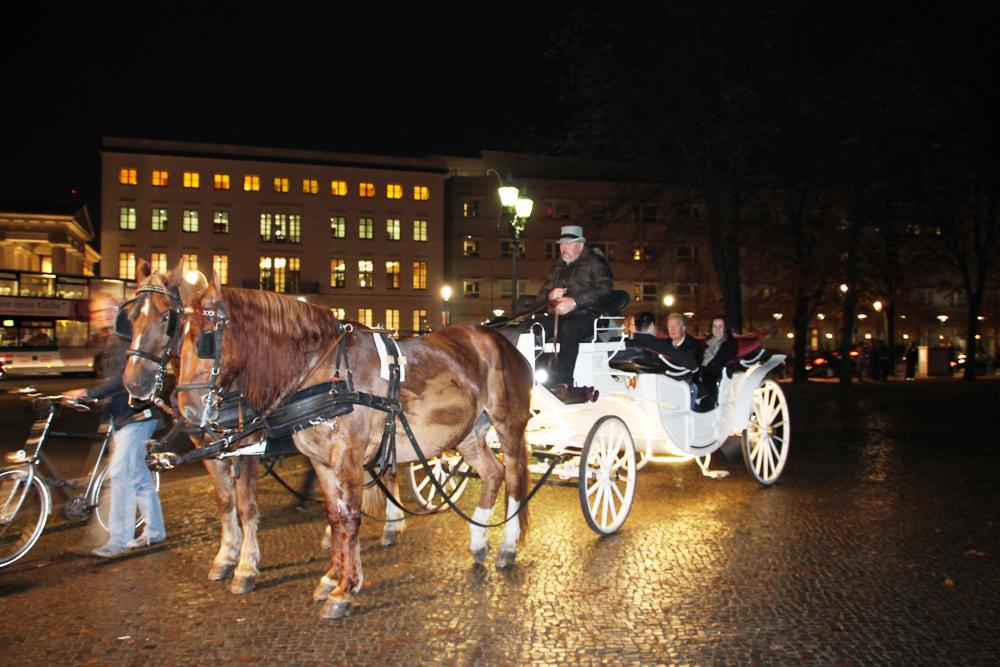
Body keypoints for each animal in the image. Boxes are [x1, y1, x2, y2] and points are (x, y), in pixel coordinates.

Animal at [126, 268, 540, 620]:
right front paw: (332, 577)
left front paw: (343, 589)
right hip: (467, 433)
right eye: (131, 320)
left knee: (514, 478)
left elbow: (346, 516)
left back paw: (506, 546)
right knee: (493, 473)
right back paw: (478, 540)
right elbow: (334, 516)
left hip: (508, 426)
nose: (188, 409)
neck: (322, 371)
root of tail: (498, 340)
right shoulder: (320, 460)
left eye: (202, 338)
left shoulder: (344, 455)